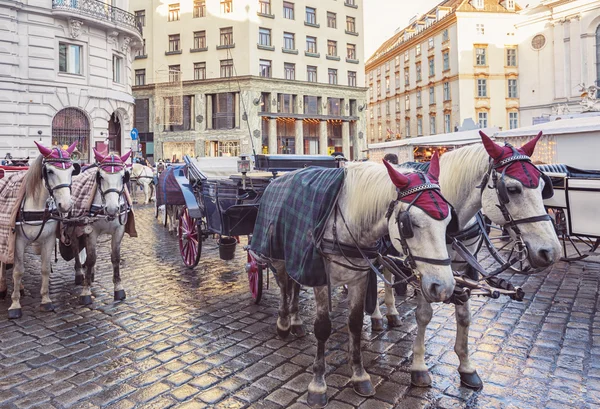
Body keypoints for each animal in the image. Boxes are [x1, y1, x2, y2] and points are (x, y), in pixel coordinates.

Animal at [0, 143, 77, 318]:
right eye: (50, 171)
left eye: (71, 171)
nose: (66, 205)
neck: (36, 205)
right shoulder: (17, 241)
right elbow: (18, 271)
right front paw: (15, 304)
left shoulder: (48, 239)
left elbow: (44, 269)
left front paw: (46, 300)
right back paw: (3, 287)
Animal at [253, 159, 454, 404]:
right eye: (409, 224)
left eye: (449, 220)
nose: (444, 288)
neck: (347, 221)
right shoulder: (320, 278)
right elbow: (322, 327)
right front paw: (318, 383)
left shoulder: (359, 278)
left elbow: (356, 324)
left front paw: (359, 375)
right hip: (279, 255)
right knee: (284, 287)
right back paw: (283, 323)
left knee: (295, 285)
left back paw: (296, 321)